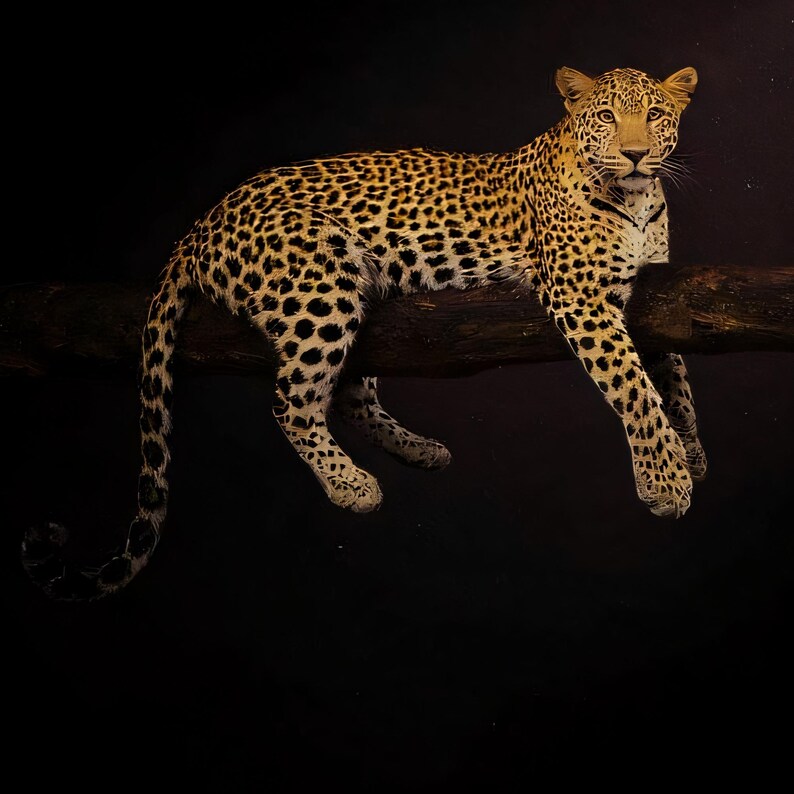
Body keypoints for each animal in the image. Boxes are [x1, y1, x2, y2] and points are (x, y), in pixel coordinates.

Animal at [22, 65, 707, 601]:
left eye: (653, 114)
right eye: (606, 118)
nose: (637, 154)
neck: (637, 200)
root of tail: (202, 222)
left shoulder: (655, 294)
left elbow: (673, 374)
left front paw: (692, 452)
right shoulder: (580, 295)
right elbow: (634, 386)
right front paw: (664, 479)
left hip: (373, 309)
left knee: (349, 394)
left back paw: (422, 451)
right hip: (321, 285)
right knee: (293, 402)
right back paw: (352, 486)